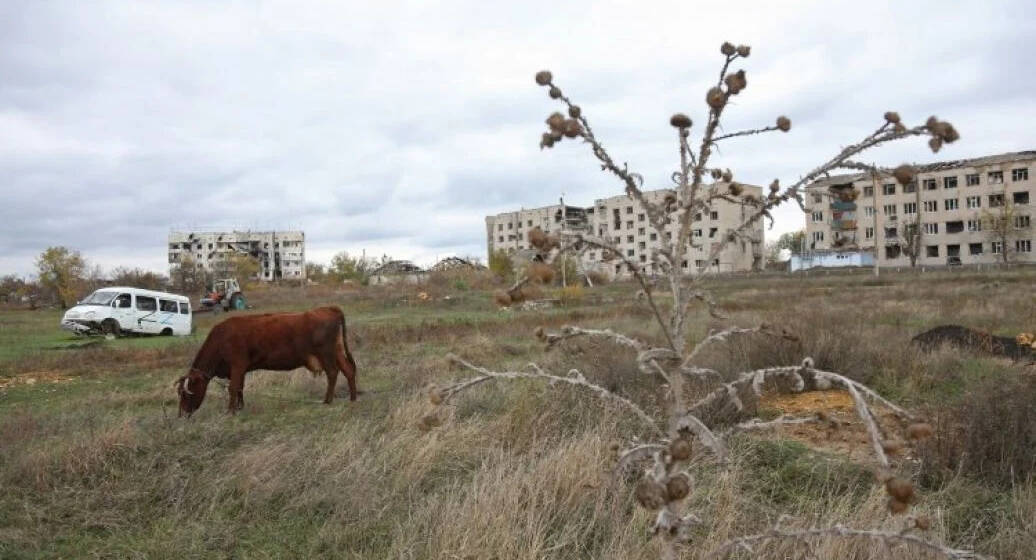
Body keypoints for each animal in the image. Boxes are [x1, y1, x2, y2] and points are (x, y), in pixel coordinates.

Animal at [176, 306, 358, 414]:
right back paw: (353, 398)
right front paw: (240, 407)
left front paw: (230, 411)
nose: (183, 413)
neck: (221, 339)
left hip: (326, 353)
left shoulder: (237, 365)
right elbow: (240, 387)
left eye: (186, 393)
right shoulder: (241, 369)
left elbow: (233, 388)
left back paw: (327, 401)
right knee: (348, 371)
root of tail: (328, 308)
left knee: (333, 373)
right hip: (337, 351)